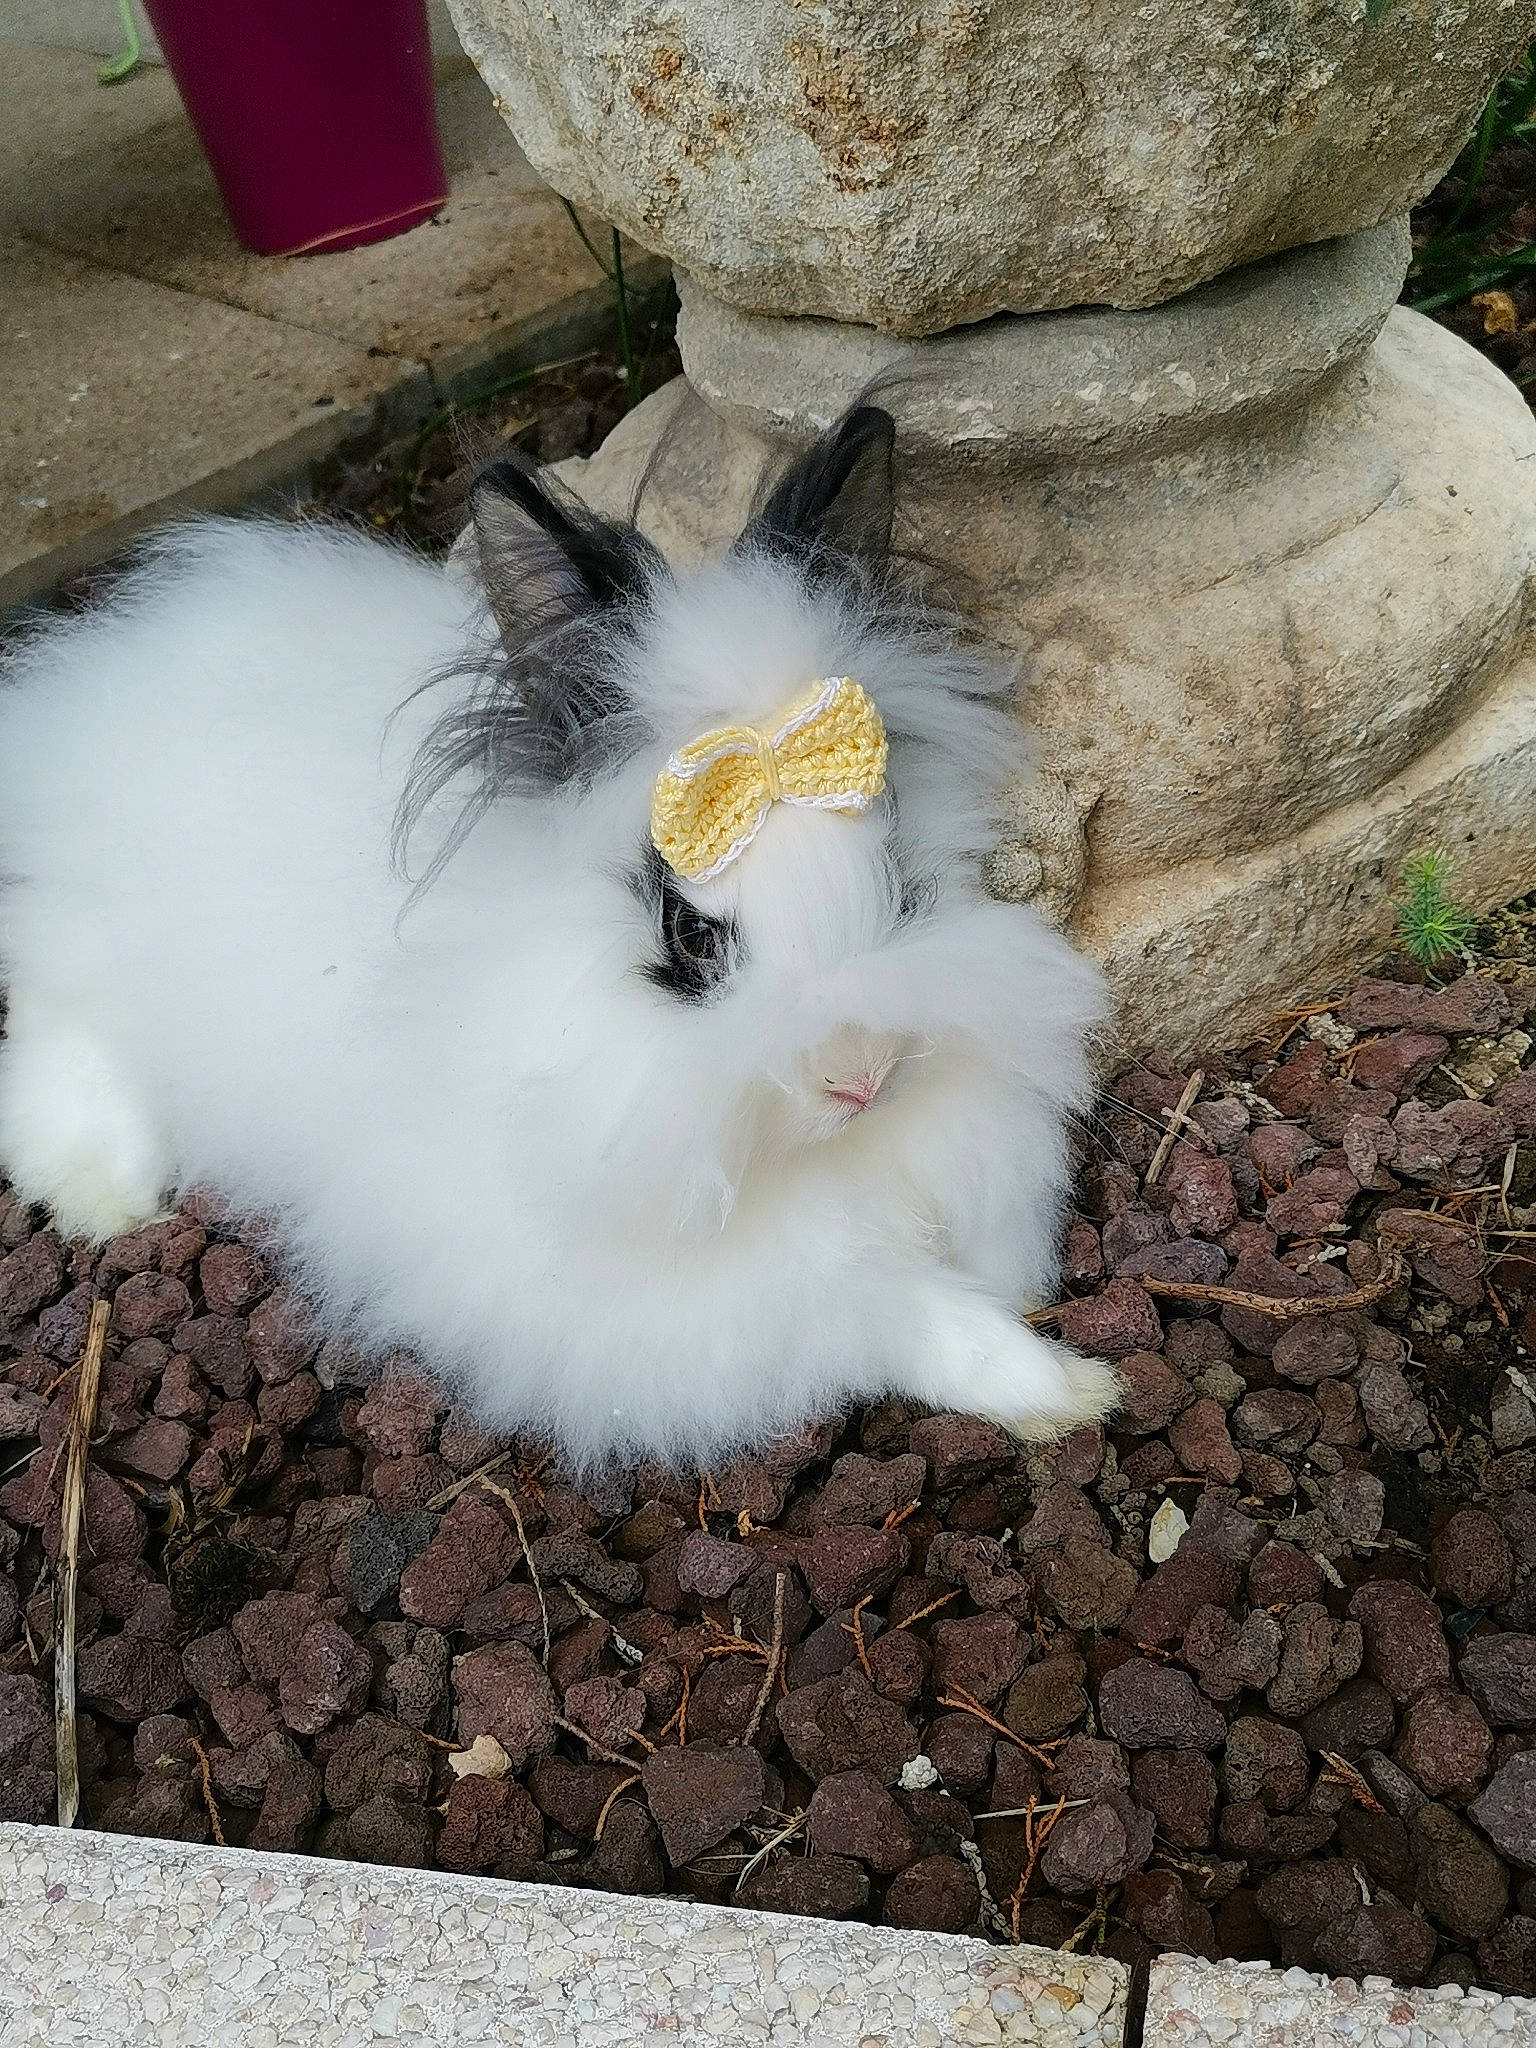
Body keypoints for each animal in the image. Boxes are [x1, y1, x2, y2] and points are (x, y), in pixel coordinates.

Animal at [0, 403, 1118, 1467]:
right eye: (689, 932)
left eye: (898, 879)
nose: (861, 1076)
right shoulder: (693, 1305)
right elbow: (894, 1311)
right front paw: (1067, 1388)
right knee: (60, 1034)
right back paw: (108, 1197)